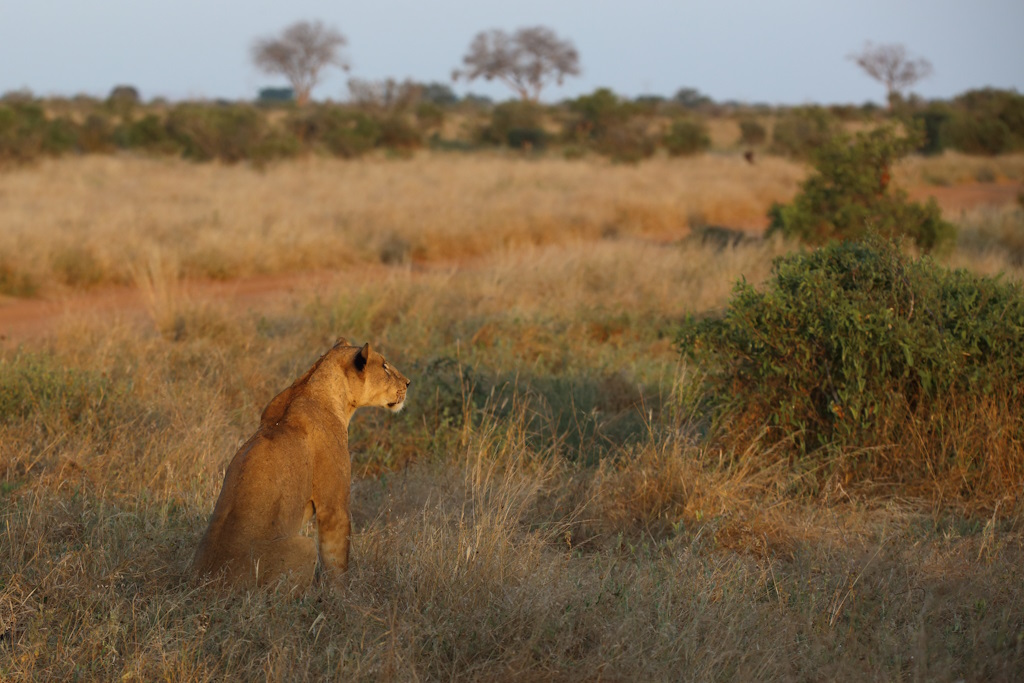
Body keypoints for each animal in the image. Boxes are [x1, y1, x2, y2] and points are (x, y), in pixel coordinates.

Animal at [190, 338, 410, 590]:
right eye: (384, 366)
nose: (408, 382)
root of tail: (208, 585)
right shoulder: (333, 505)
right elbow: (337, 561)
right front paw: (341, 594)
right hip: (305, 547)